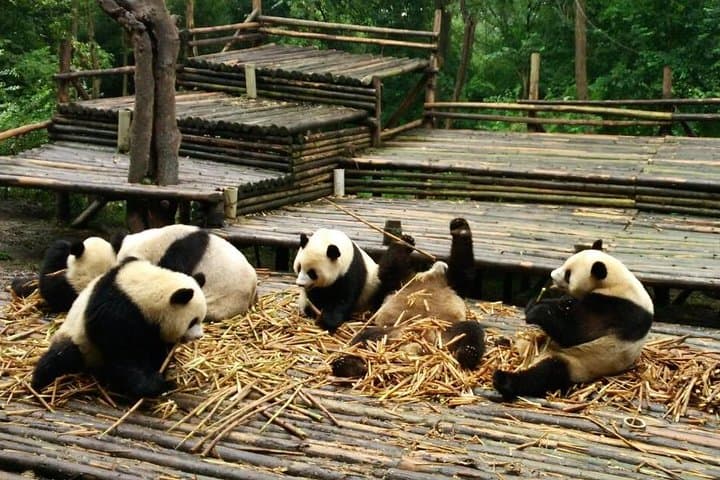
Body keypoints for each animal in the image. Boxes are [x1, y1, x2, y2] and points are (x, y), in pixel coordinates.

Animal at [31, 257, 207, 399]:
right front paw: (157, 385)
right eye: (192, 321)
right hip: (79, 340)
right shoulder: (117, 313)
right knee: (60, 357)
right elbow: (124, 354)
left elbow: (155, 349)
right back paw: (39, 382)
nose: (198, 336)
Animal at [492, 240, 654, 400]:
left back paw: (504, 381)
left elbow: (576, 332)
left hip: (578, 363)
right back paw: (501, 342)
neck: (616, 283)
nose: (552, 275)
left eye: (568, 275)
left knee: (546, 374)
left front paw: (536, 311)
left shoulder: (617, 310)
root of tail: (532, 358)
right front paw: (539, 300)